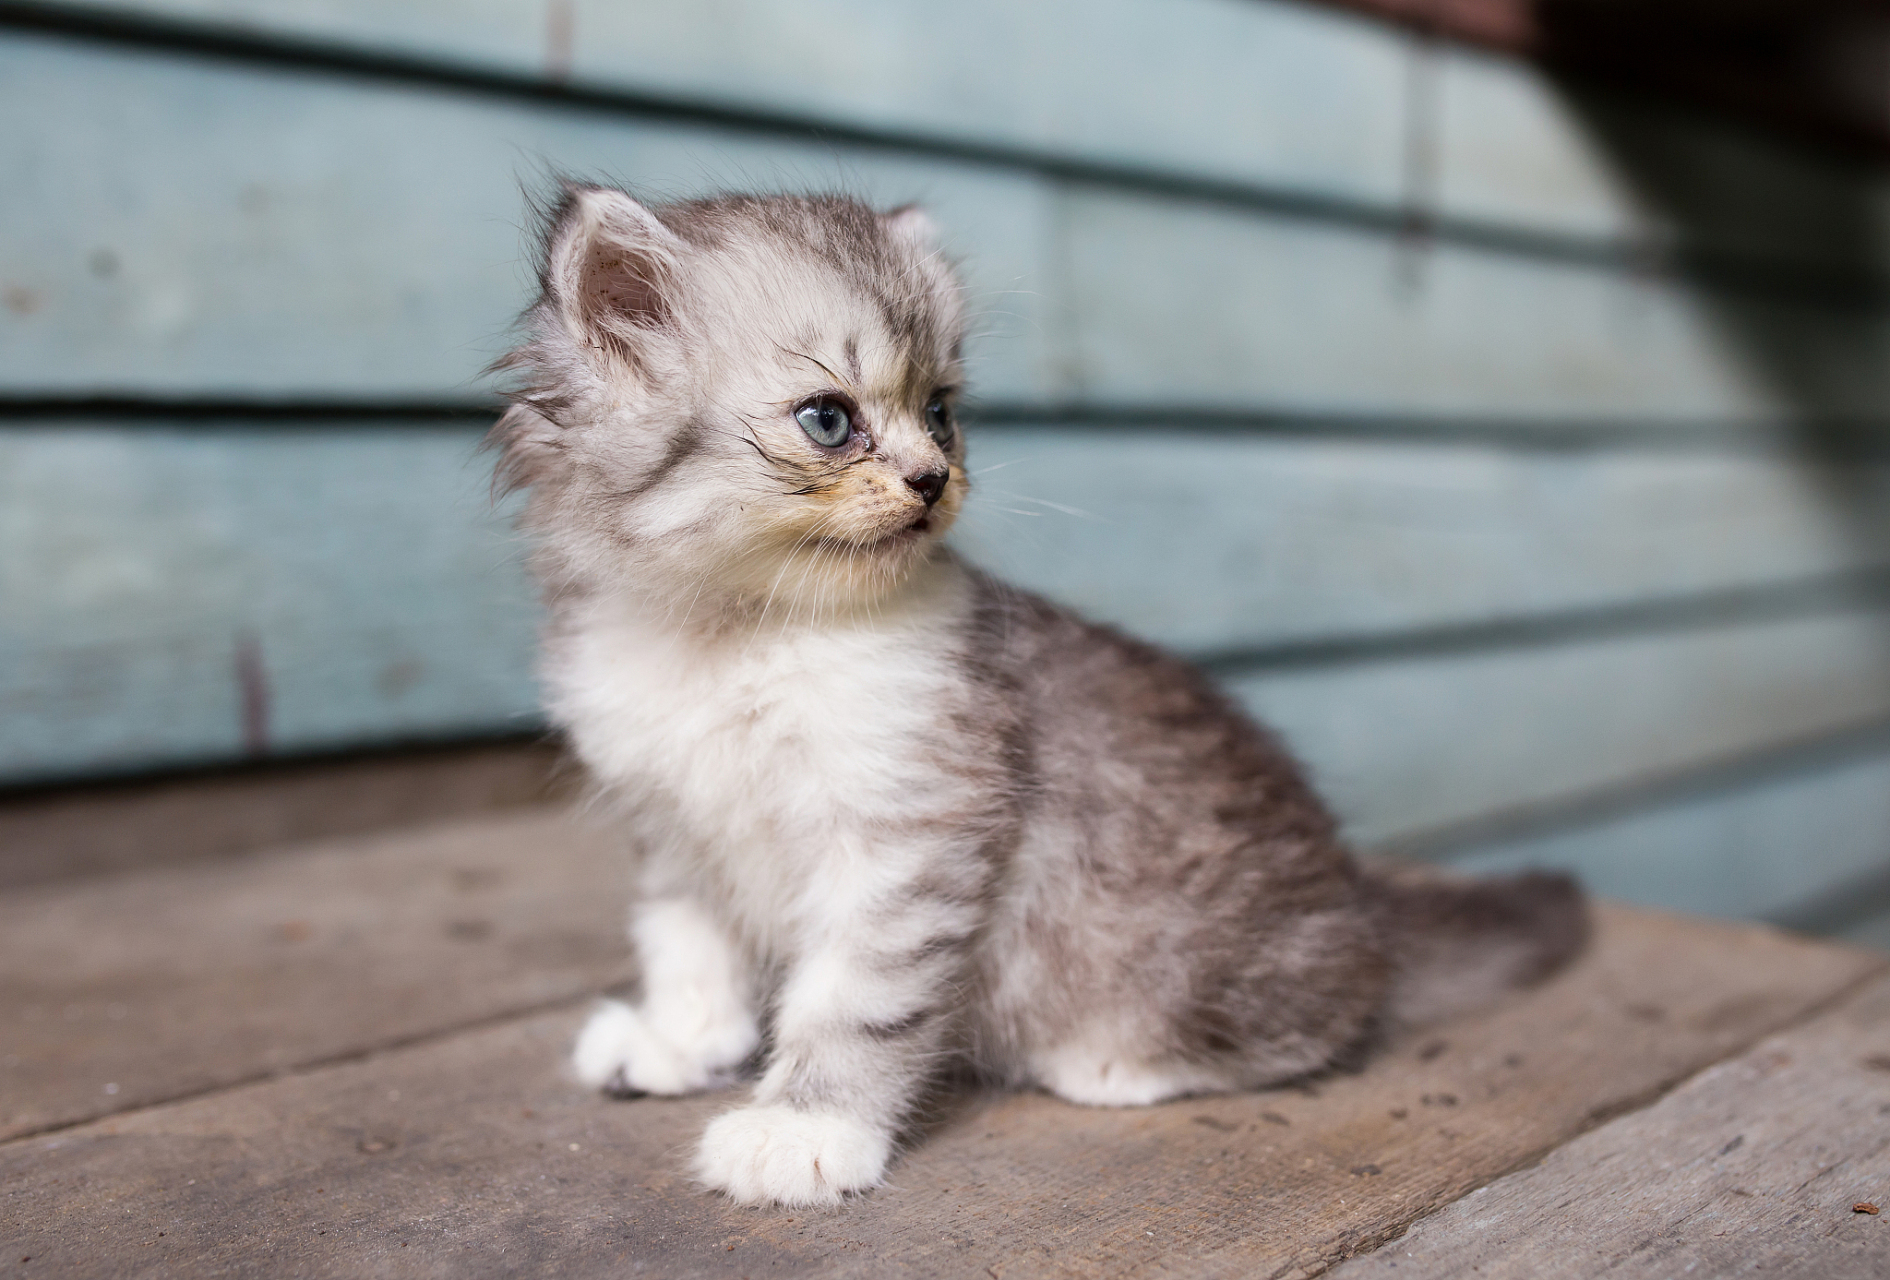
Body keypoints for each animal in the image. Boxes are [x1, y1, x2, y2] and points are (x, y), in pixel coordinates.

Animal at [487, 184, 1580, 1202]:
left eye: (941, 412)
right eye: (830, 420)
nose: (934, 478)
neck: (733, 636)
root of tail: (1361, 900)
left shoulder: (908, 834)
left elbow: (853, 1002)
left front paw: (804, 1129)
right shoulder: (675, 827)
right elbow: (686, 948)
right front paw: (681, 1044)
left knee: (1344, 1009)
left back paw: (1118, 1060)